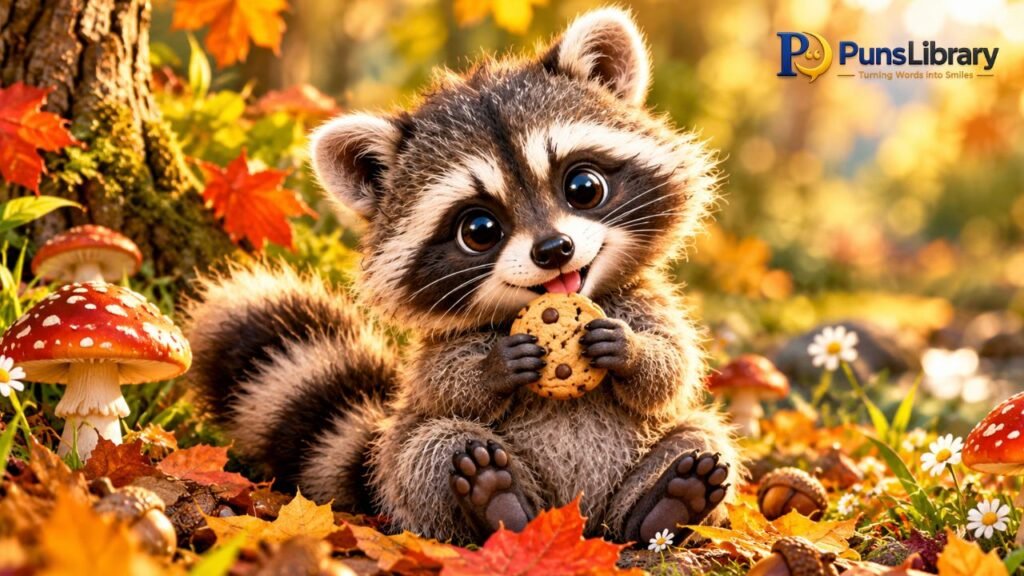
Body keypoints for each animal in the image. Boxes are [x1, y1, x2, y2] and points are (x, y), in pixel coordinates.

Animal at [186, 8, 742, 546]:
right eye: (479, 230)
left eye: (583, 187)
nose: (554, 250)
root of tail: (580, 519)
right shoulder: (440, 345)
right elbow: (443, 386)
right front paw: (493, 367)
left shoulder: (644, 297)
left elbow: (673, 370)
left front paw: (630, 347)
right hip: (410, 472)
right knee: (431, 448)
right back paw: (498, 503)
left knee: (699, 437)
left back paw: (666, 503)